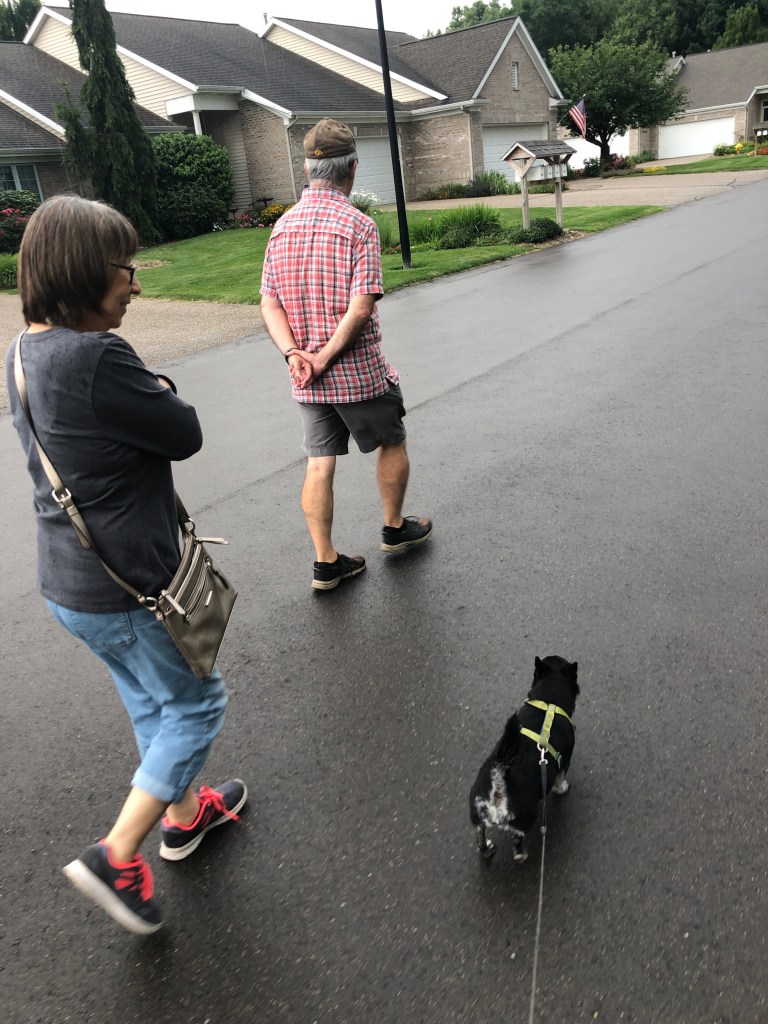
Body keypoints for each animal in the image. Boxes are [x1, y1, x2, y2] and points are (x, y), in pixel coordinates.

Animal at [469, 655, 579, 861]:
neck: (548, 702)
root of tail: (499, 781)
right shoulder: (565, 761)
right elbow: (560, 780)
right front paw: (562, 789)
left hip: (477, 818)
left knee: (480, 840)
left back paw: (488, 849)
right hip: (525, 820)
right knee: (518, 849)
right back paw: (524, 855)